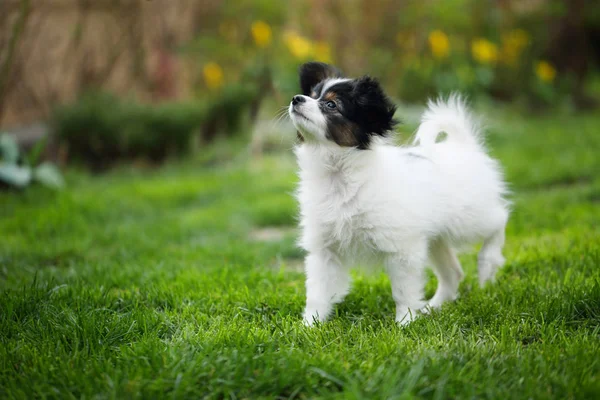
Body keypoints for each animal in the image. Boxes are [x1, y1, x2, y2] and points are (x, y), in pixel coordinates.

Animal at [288, 61, 508, 324]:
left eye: (331, 105)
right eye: (312, 95)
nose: (296, 98)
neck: (338, 176)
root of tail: (463, 146)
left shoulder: (401, 247)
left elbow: (403, 290)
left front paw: (405, 321)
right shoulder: (324, 250)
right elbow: (317, 292)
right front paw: (310, 325)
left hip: (468, 219)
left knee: (500, 219)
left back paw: (487, 264)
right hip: (435, 237)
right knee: (453, 273)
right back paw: (433, 307)